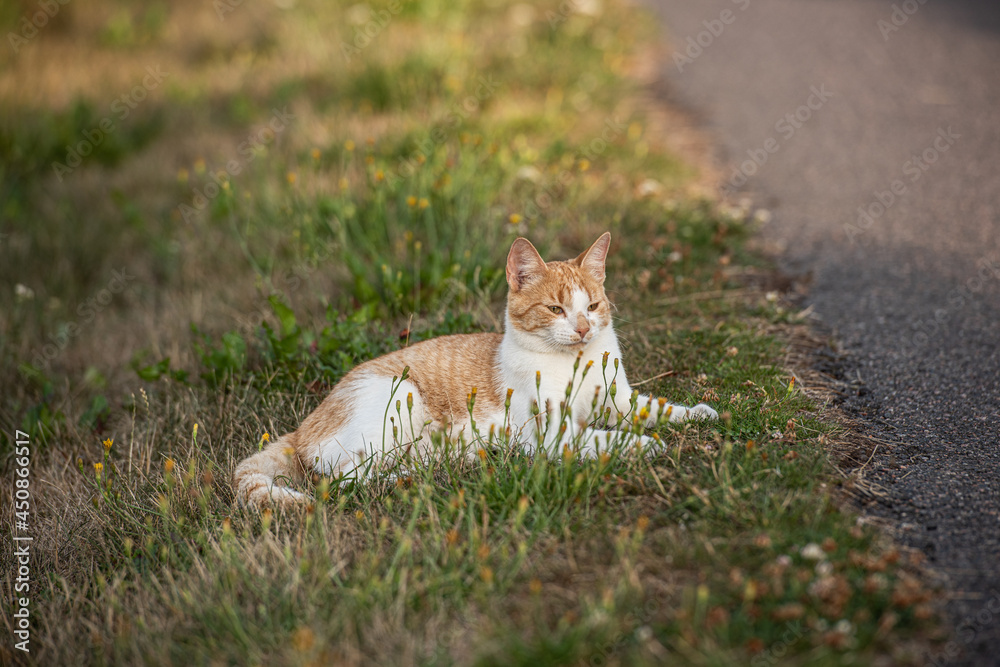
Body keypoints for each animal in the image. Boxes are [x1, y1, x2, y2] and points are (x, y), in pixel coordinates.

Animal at [234, 232, 720, 508]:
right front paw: (646, 446)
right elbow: (607, 439)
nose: (583, 329)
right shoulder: (555, 434)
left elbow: (657, 407)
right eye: (556, 309)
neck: (576, 365)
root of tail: (303, 427)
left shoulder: (619, 401)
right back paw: (415, 475)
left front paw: (696, 414)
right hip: (396, 400)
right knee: (347, 474)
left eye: (594, 306)